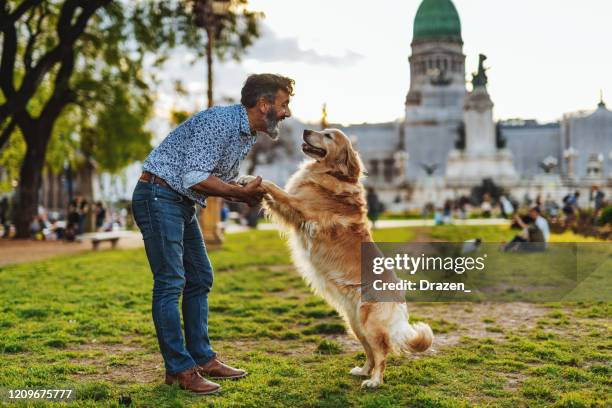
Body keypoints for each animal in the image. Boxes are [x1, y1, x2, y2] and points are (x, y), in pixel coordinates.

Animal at [237, 129, 432, 388]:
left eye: (328, 135)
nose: (306, 131)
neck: (329, 172)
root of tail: (400, 298)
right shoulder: (291, 210)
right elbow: (271, 194)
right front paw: (250, 183)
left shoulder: (299, 206)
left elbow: (273, 186)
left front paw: (249, 178)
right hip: (356, 324)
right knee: (370, 353)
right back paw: (363, 371)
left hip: (370, 324)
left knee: (382, 352)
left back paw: (375, 381)